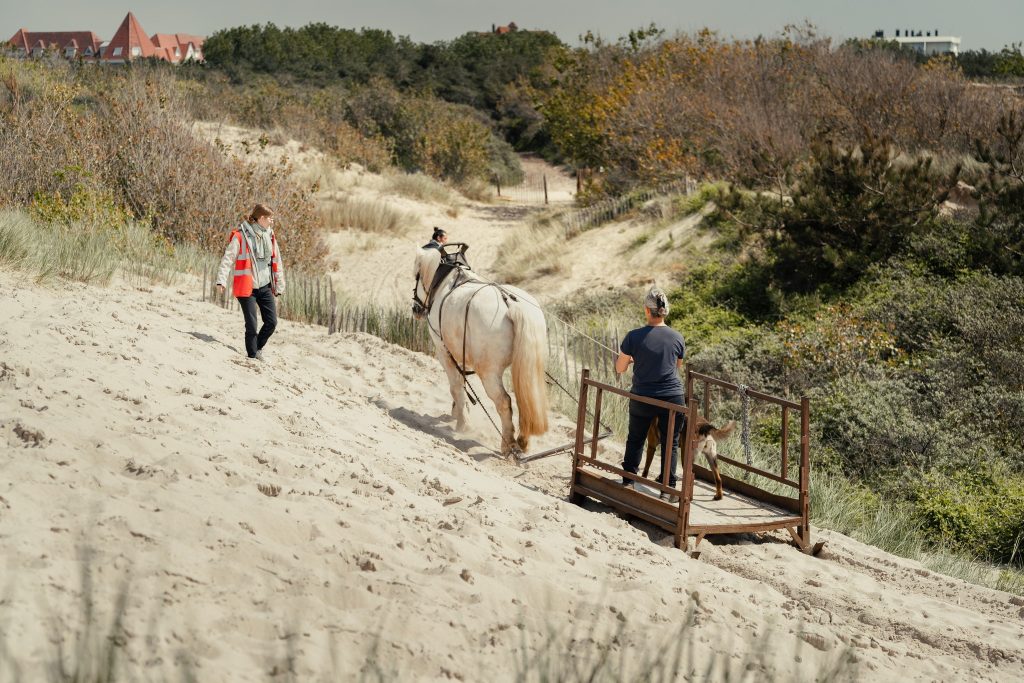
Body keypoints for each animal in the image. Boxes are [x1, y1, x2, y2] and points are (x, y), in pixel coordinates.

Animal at [412, 244, 549, 457]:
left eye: (416, 275)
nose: (415, 309)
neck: (447, 281)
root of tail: (510, 303)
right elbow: (461, 384)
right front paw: (458, 412)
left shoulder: (444, 351)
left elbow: (456, 386)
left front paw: (462, 423)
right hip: (530, 366)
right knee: (527, 399)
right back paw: (523, 441)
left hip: (489, 372)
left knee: (504, 401)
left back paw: (508, 444)